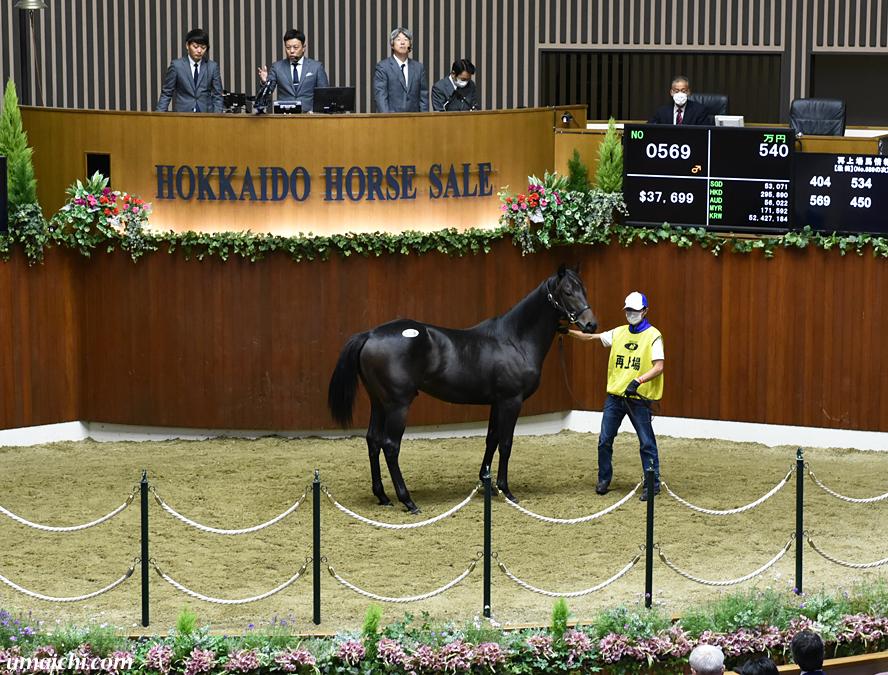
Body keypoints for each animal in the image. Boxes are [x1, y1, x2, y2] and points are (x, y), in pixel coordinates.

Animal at [327, 264, 598, 514]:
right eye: (567, 292)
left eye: (584, 289)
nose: (591, 324)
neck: (514, 340)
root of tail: (371, 334)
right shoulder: (511, 401)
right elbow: (506, 443)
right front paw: (506, 490)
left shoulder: (496, 402)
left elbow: (492, 440)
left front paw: (486, 483)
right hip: (397, 404)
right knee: (390, 446)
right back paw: (408, 501)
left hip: (378, 402)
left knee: (373, 440)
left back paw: (383, 496)